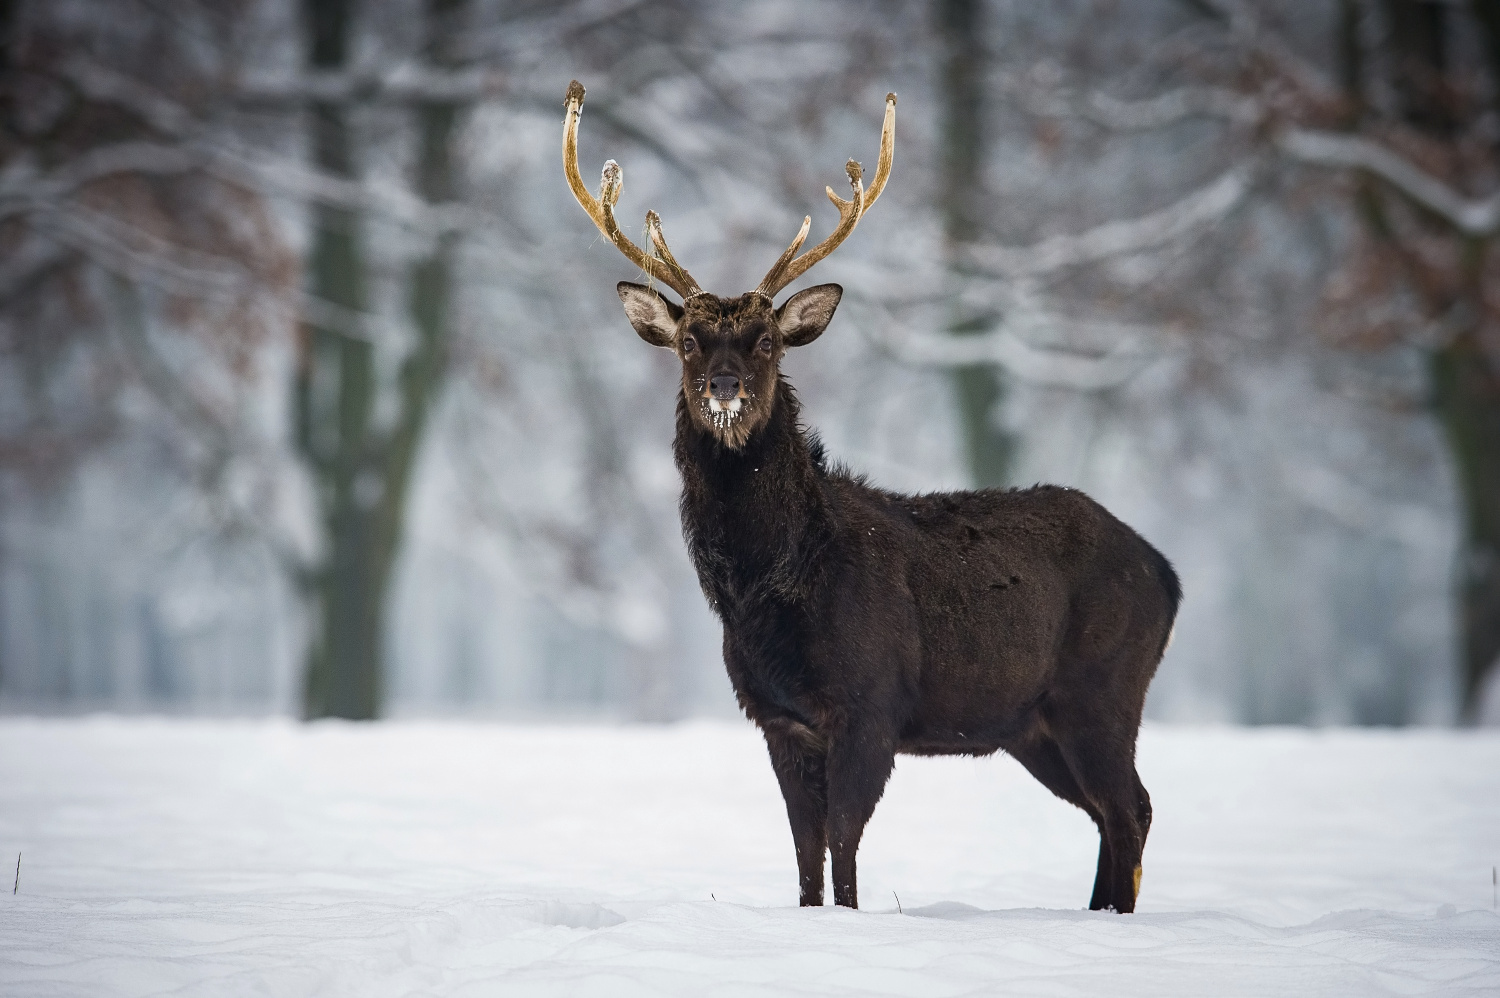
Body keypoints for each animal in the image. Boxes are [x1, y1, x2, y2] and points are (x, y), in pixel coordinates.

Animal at [558, 79, 1176, 912]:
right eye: (688, 343)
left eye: (766, 341)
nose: (724, 388)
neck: (774, 585)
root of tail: (1168, 575)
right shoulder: (779, 718)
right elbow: (805, 855)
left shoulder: (872, 704)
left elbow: (844, 843)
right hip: (1033, 724)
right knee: (1113, 813)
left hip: (1103, 689)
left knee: (1132, 807)